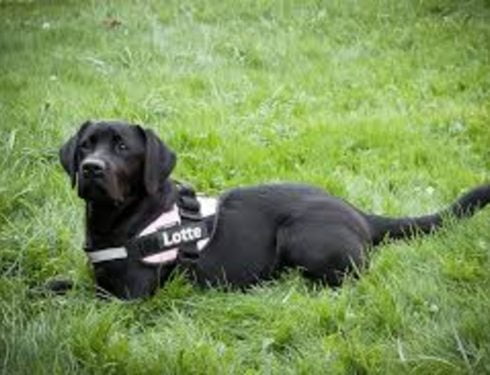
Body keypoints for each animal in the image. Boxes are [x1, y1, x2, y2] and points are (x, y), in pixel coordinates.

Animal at [59, 122, 488, 302]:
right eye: (86, 145)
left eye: (122, 148)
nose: (91, 168)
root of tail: (359, 213)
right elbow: (64, 283)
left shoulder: (129, 296)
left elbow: (80, 297)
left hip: (299, 236)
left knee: (352, 276)